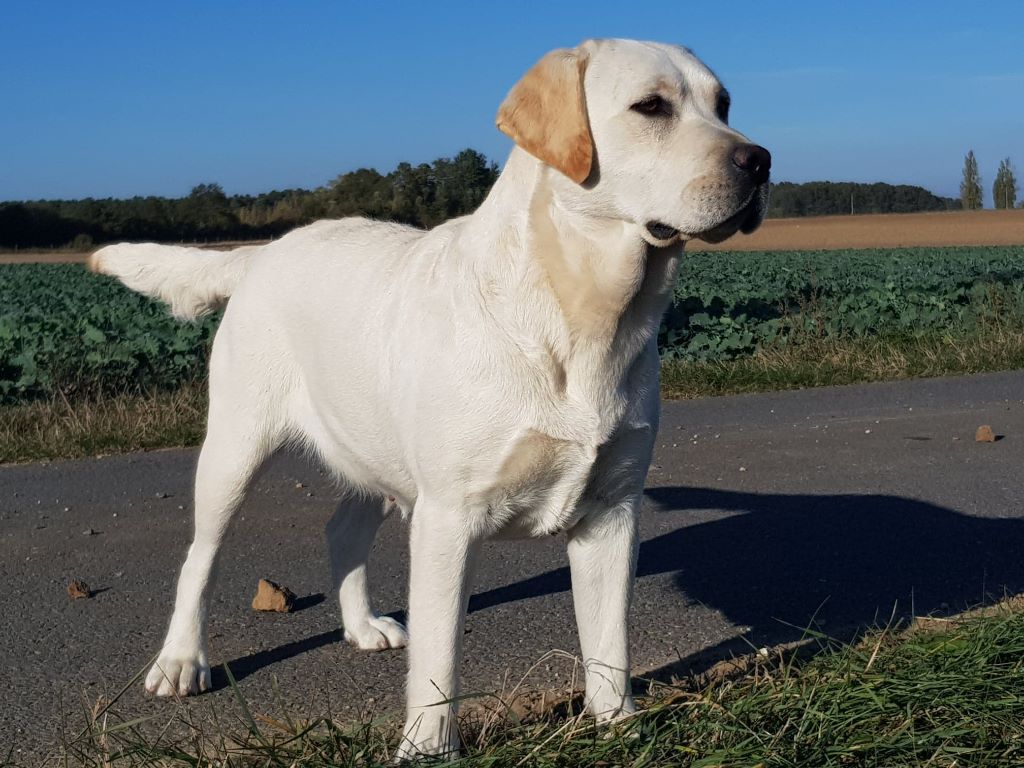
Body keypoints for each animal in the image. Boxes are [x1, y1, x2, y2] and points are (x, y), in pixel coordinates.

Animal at [94, 39, 770, 761]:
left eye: (724, 104)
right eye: (651, 107)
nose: (760, 160)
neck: (583, 312)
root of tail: (261, 251)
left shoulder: (613, 513)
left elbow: (610, 643)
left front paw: (620, 728)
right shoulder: (449, 519)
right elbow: (439, 661)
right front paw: (427, 750)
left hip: (372, 448)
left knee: (341, 530)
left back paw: (363, 626)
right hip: (235, 448)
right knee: (200, 558)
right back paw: (180, 661)